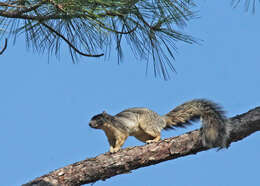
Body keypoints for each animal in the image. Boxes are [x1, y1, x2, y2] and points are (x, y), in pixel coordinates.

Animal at [89, 99, 230, 153]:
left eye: (98, 118)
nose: (89, 124)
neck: (107, 127)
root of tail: (161, 119)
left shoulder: (120, 128)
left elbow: (122, 138)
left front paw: (117, 149)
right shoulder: (110, 136)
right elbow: (111, 142)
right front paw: (110, 149)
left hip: (147, 124)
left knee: (159, 134)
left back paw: (154, 140)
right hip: (141, 134)